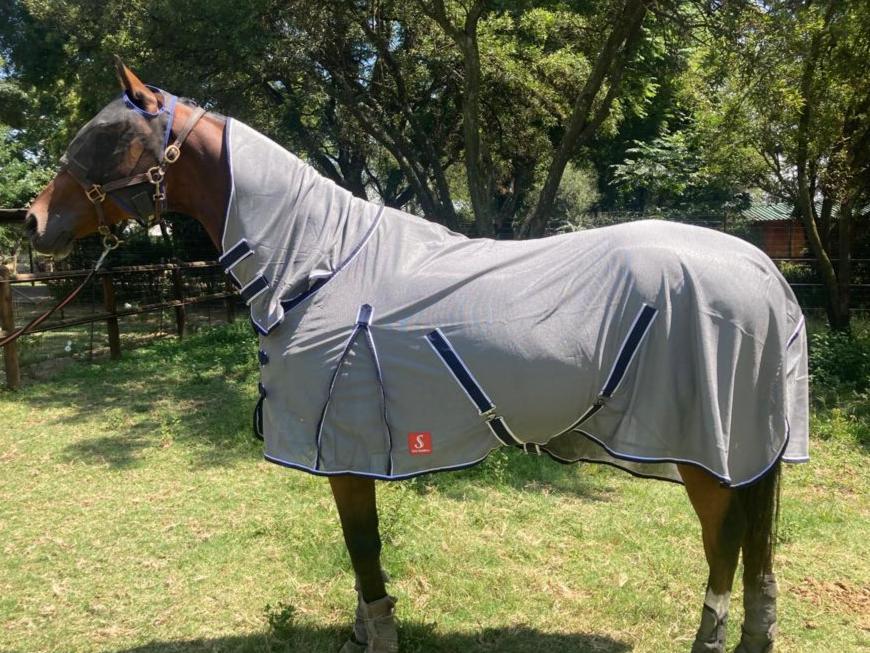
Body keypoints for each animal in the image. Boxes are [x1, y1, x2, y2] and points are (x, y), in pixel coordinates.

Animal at [24, 60, 808, 653]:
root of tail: (761, 269)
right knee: (754, 549)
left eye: (104, 137)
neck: (319, 264)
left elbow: (363, 547)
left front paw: (376, 636)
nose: (32, 222)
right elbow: (360, 550)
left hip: (706, 447)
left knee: (725, 543)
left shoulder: (346, 452)